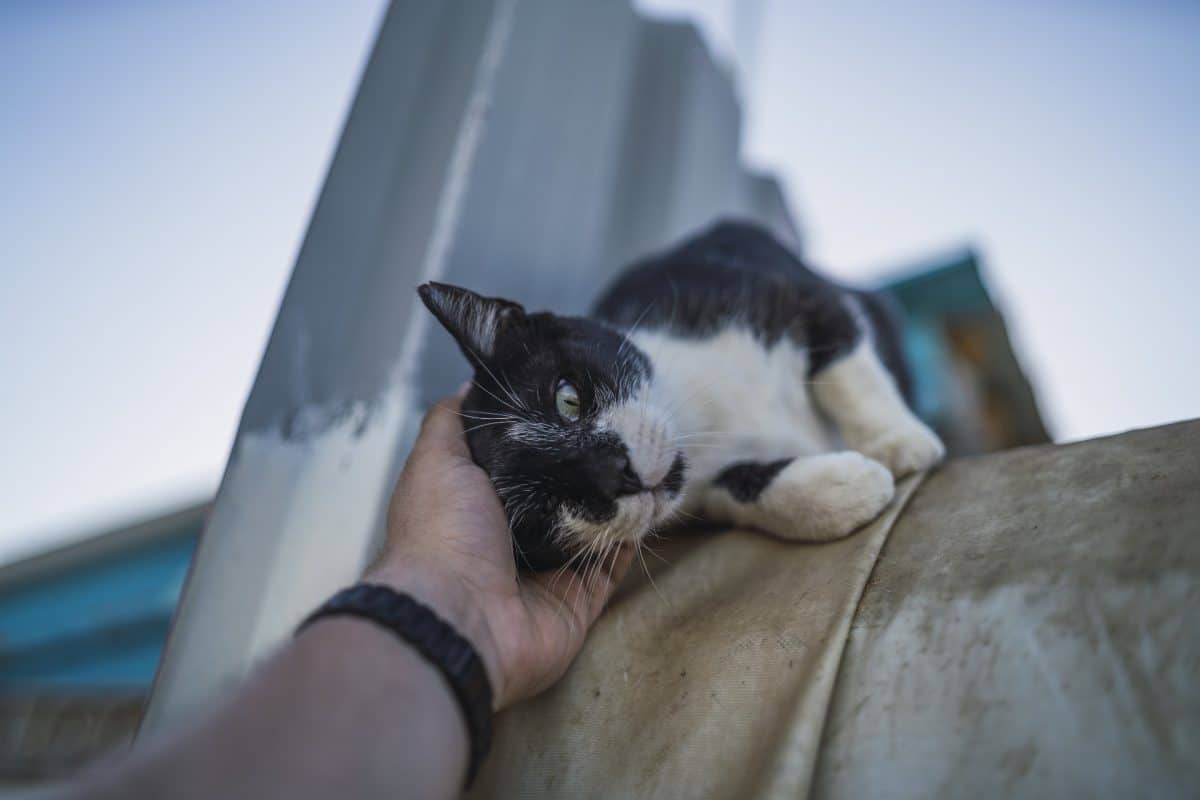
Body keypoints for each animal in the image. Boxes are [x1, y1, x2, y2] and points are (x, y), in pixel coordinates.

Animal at [417, 219, 940, 568]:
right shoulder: (703, 491)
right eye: (543, 509)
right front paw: (841, 493)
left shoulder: (778, 291)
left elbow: (843, 359)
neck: (703, 421)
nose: (617, 473)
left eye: (568, 399)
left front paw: (897, 443)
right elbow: (738, 489)